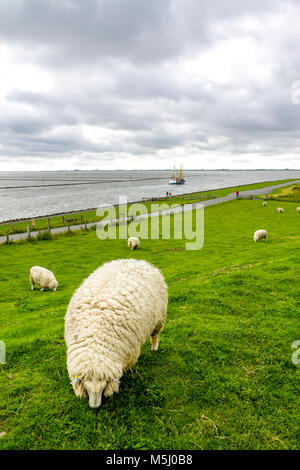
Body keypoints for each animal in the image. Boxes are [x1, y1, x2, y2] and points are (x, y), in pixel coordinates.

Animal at [64, 258, 168, 410]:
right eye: (86, 387)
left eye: (103, 387)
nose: (95, 407)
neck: (94, 335)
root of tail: (139, 261)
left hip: (159, 318)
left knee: (155, 335)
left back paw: (154, 347)